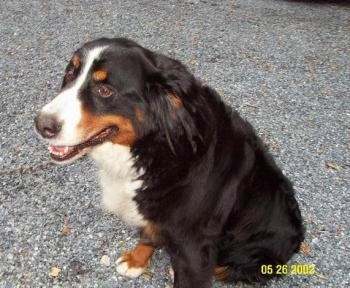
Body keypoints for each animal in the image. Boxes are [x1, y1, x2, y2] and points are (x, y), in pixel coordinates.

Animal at [34, 38, 304, 288]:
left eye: (105, 91)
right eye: (70, 74)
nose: (41, 124)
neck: (151, 148)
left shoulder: (194, 247)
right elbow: (148, 234)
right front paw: (136, 260)